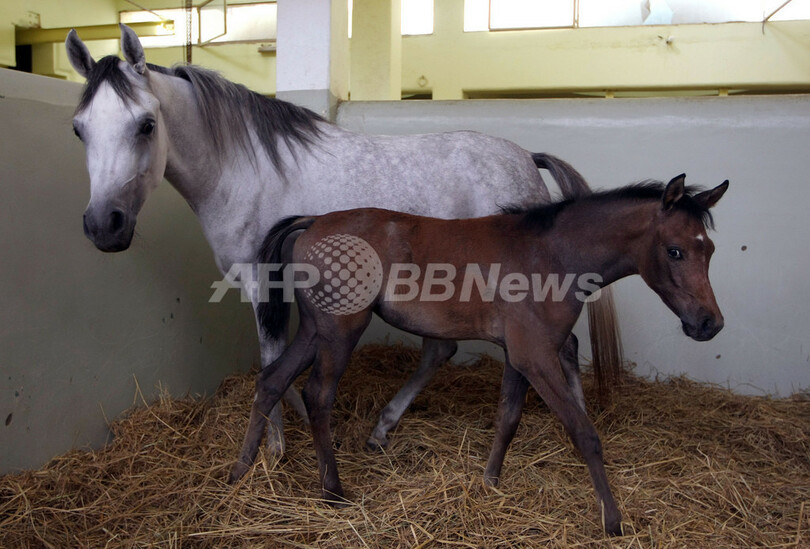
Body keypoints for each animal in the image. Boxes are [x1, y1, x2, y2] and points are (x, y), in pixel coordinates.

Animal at [65, 24, 622, 456]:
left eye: (146, 124)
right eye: (78, 130)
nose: (104, 225)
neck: (246, 169)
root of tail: (527, 158)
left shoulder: (265, 284)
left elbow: (270, 360)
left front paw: (274, 448)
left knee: (557, 346)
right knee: (447, 351)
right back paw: (383, 429)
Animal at [229, 174, 728, 535]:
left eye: (709, 250)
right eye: (675, 250)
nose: (710, 324)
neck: (552, 254)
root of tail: (314, 221)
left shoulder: (519, 355)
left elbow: (507, 418)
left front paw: (489, 482)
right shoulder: (536, 356)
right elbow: (584, 433)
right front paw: (612, 521)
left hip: (315, 330)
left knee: (271, 380)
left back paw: (239, 472)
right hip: (339, 332)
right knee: (317, 394)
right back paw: (332, 490)